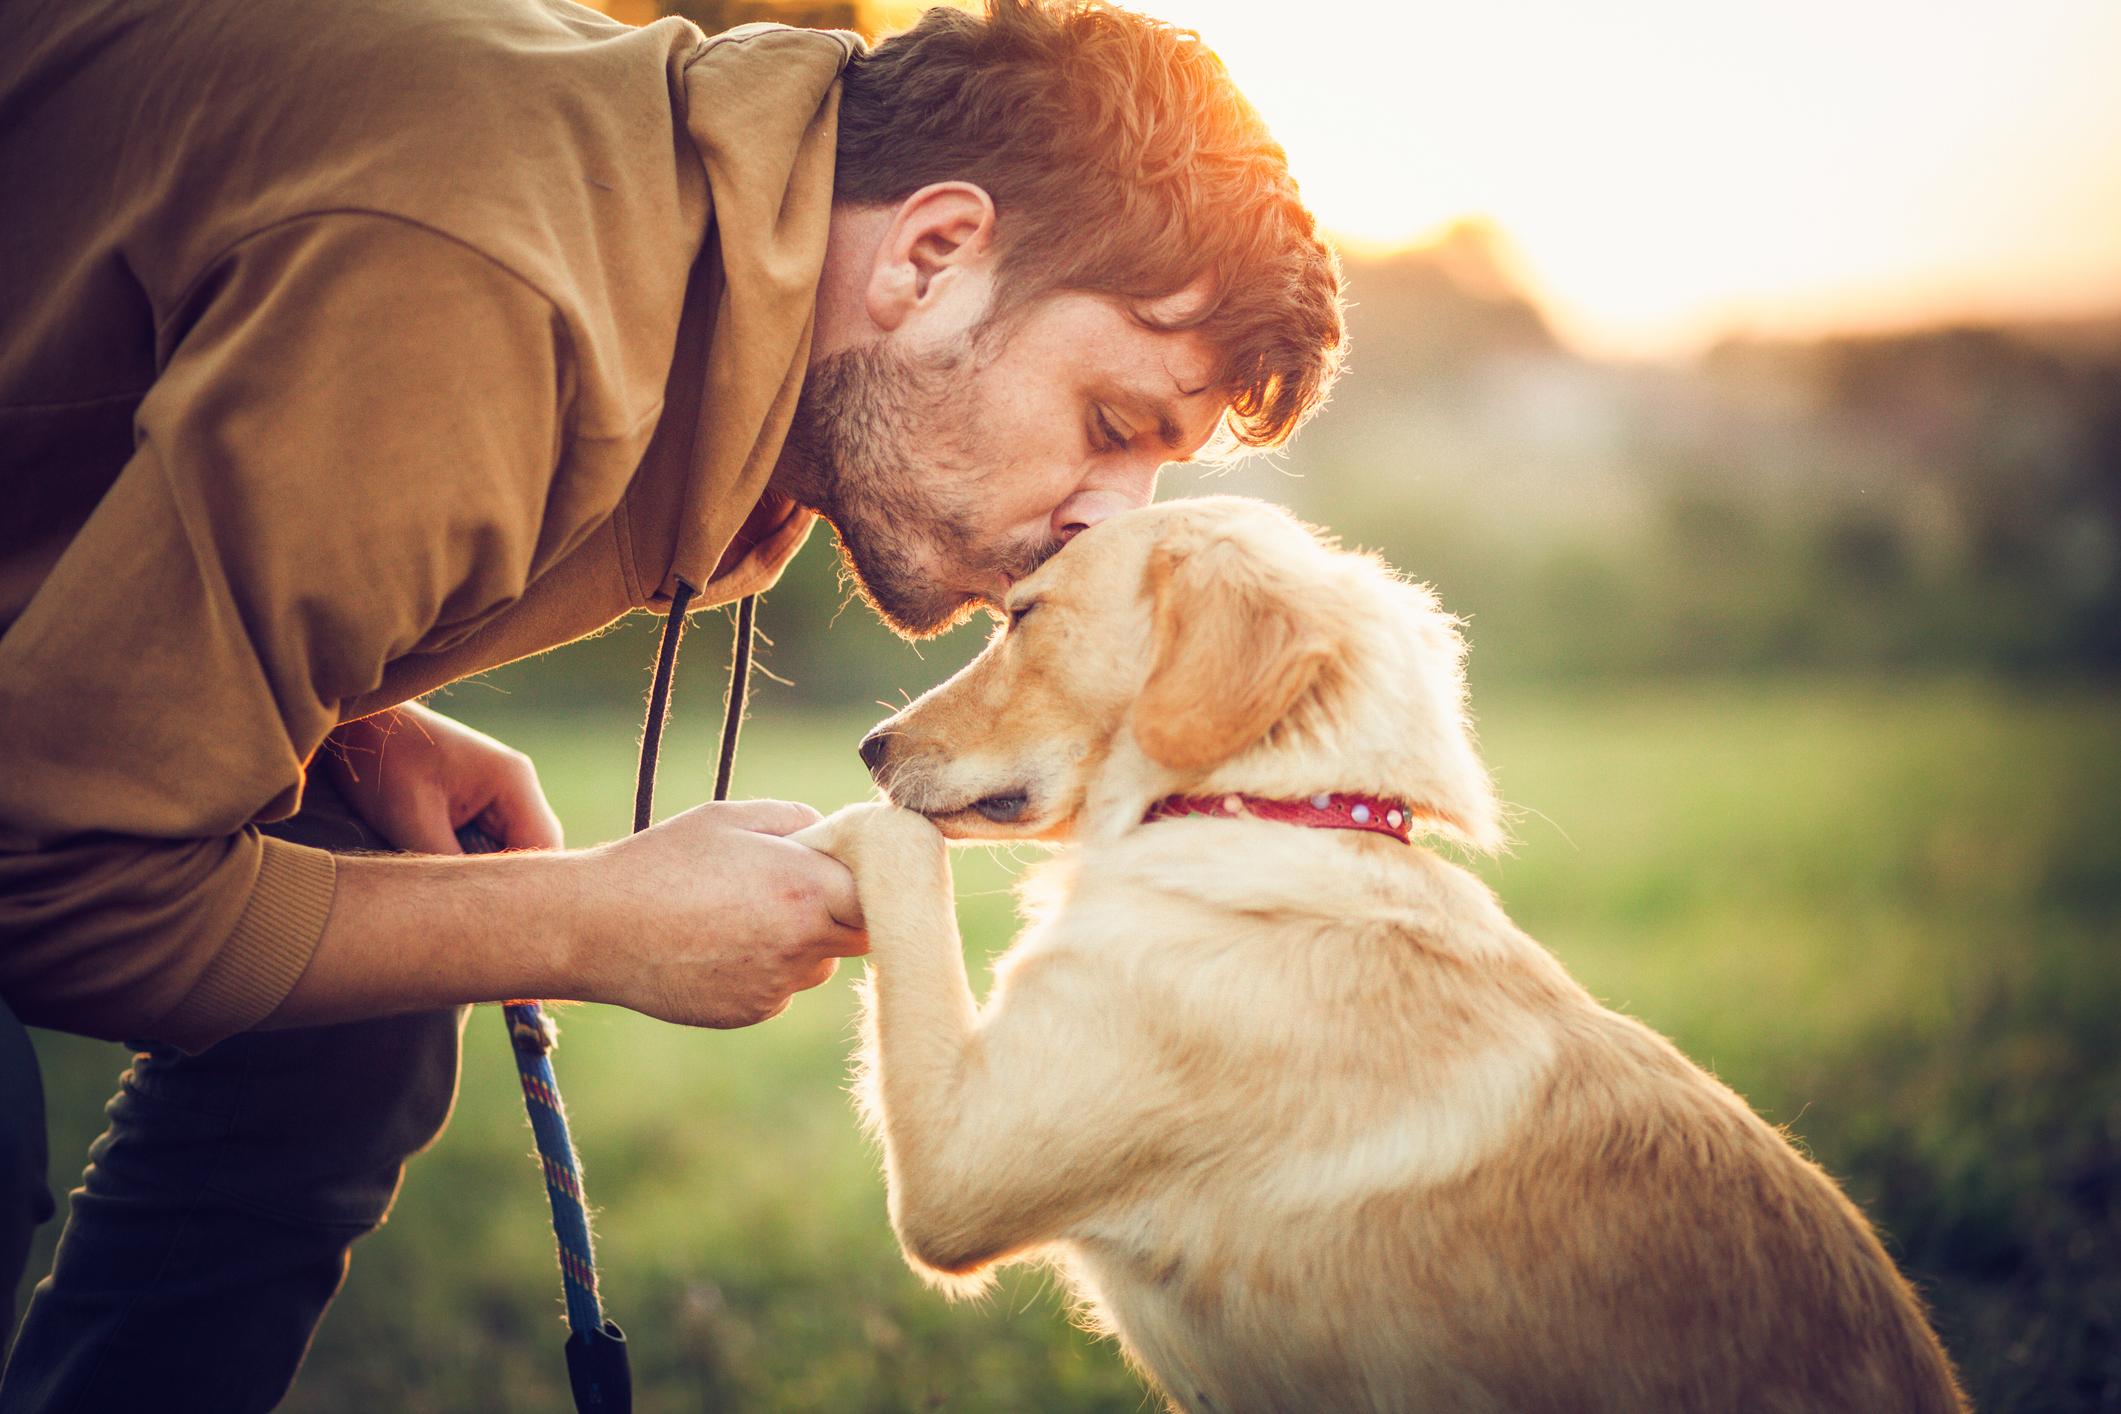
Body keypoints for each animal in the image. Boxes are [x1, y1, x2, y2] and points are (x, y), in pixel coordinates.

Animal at [797, 491, 1968, 1407]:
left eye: (1023, 617)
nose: (868, 746)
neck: (1268, 809)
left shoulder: (956, 1176)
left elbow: (899, 852)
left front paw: (814, 832)